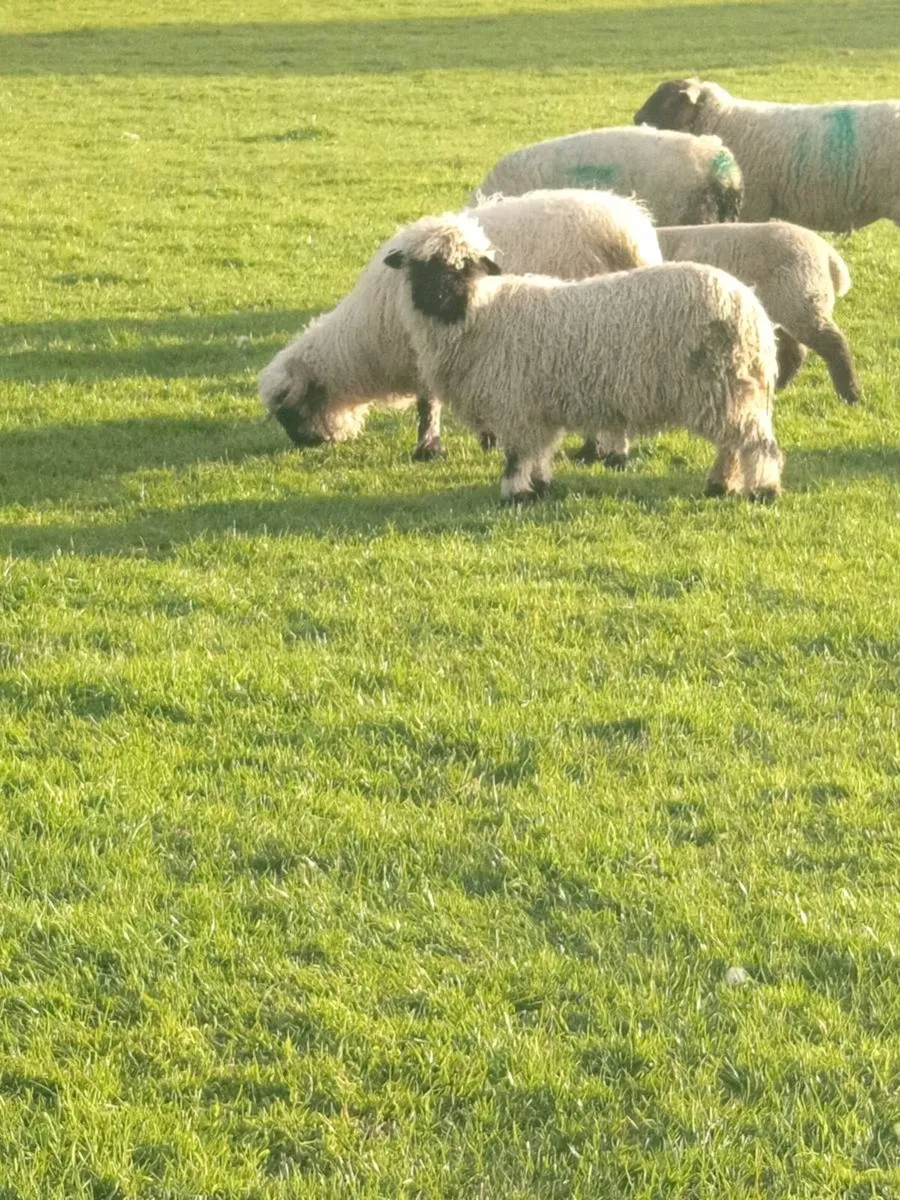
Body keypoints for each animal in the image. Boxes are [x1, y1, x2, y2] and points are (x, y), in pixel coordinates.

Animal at [259, 189, 662, 460]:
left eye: (290, 411)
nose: (307, 444)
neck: (365, 339)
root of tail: (631, 233)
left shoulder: (425, 351)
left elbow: (428, 406)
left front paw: (428, 448)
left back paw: (593, 451)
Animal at [383, 212, 783, 503]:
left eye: (465, 266)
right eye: (420, 267)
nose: (439, 296)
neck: (479, 314)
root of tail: (751, 308)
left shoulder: (517, 404)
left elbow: (517, 455)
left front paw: (515, 493)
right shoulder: (538, 408)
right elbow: (540, 451)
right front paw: (540, 486)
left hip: (722, 384)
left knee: (753, 441)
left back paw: (763, 490)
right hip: (730, 388)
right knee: (732, 443)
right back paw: (719, 485)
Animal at [655, 221, 859, 404]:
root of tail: (828, 255)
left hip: (799, 297)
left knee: (834, 344)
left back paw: (850, 394)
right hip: (785, 306)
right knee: (795, 350)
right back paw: (778, 387)